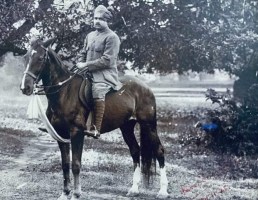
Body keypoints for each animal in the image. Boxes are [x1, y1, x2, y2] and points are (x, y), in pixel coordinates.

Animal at [20, 38, 169, 199]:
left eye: (40, 58)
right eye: (25, 57)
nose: (25, 87)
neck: (64, 92)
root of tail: (145, 87)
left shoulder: (77, 133)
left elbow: (76, 164)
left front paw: (76, 194)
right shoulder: (61, 135)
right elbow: (65, 164)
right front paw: (65, 193)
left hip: (148, 125)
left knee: (159, 151)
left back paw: (163, 191)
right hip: (126, 127)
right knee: (135, 151)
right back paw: (134, 189)